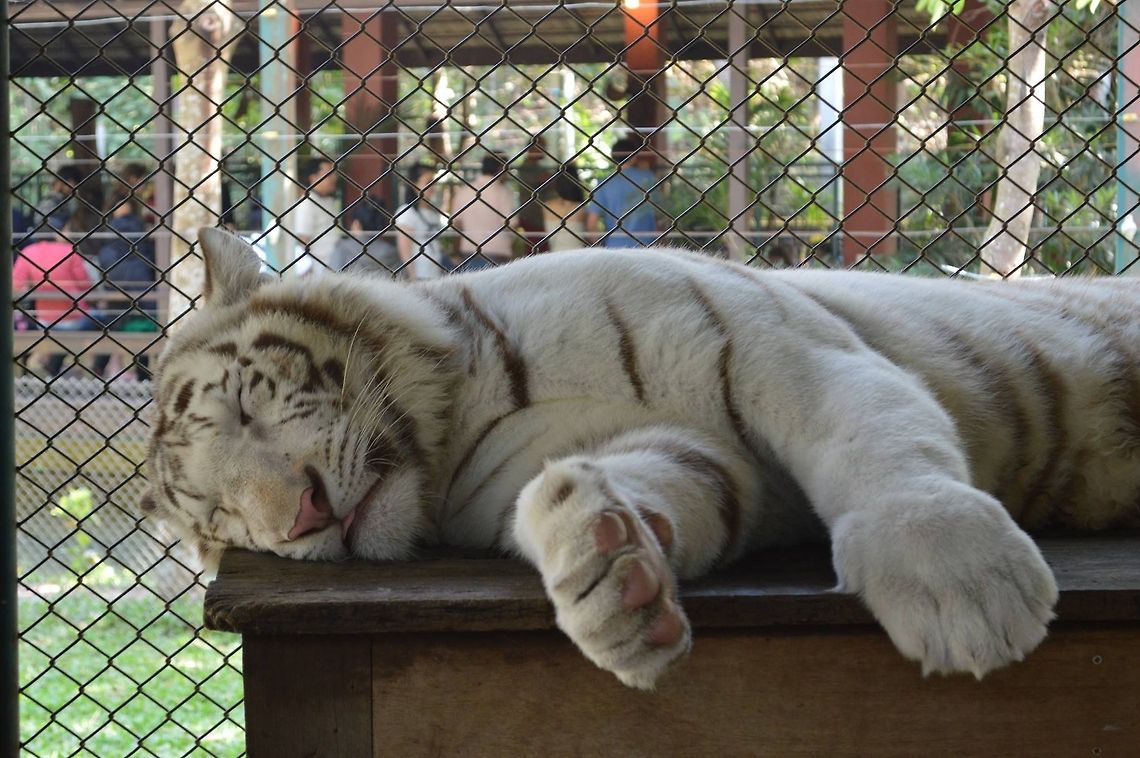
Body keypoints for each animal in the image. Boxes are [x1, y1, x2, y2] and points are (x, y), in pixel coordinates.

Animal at [144, 227, 1140, 690]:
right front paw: (609, 582)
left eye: (246, 407)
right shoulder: (694, 455)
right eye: (222, 521)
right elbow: (657, 482)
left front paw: (959, 586)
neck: (461, 413)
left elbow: (874, 439)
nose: (300, 517)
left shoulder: (774, 343)